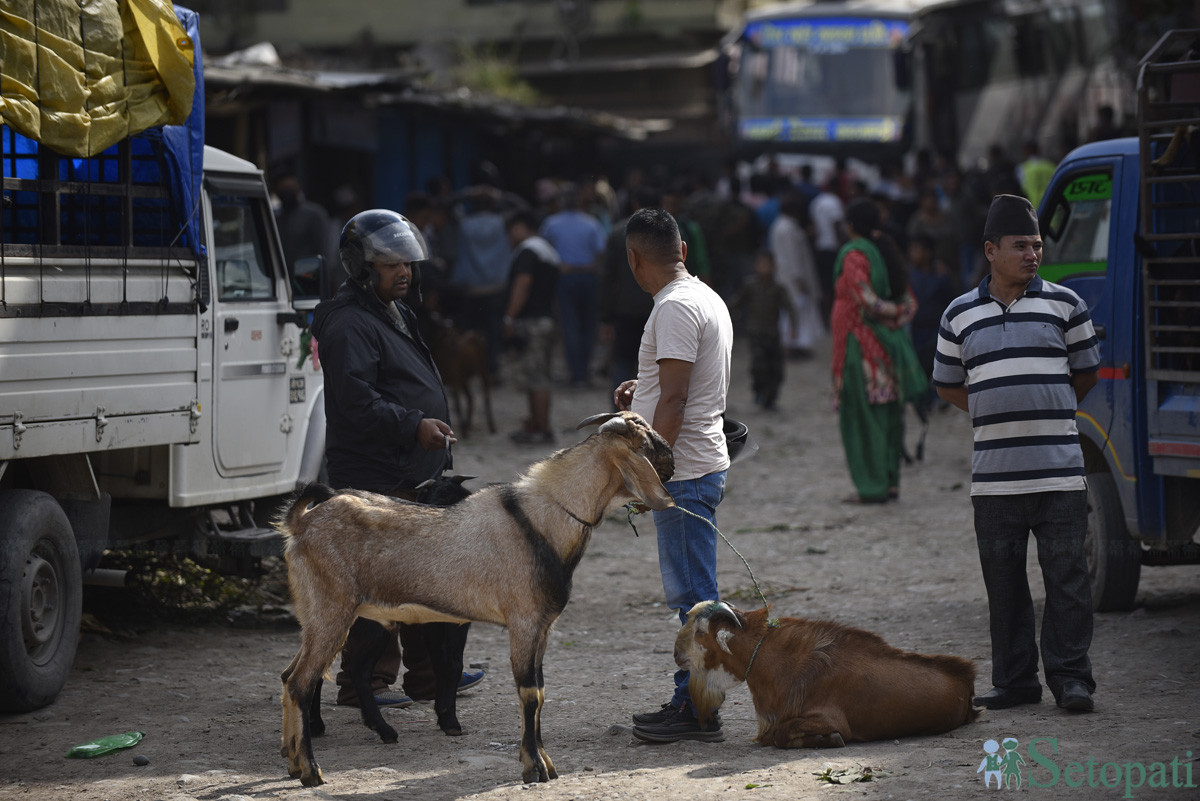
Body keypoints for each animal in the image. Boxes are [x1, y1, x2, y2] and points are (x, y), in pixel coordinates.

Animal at [276, 410, 681, 786]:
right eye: (647, 443)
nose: (675, 462)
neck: (543, 520)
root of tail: (301, 524)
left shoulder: (543, 628)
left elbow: (541, 690)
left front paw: (546, 763)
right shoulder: (523, 622)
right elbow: (530, 693)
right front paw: (534, 769)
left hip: (318, 616)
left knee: (289, 674)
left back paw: (294, 762)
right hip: (333, 610)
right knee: (301, 682)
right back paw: (311, 771)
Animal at [672, 604, 979, 748]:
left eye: (700, 633)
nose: (676, 654)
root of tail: (966, 680)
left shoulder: (829, 718)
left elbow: (782, 734)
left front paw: (828, 740)